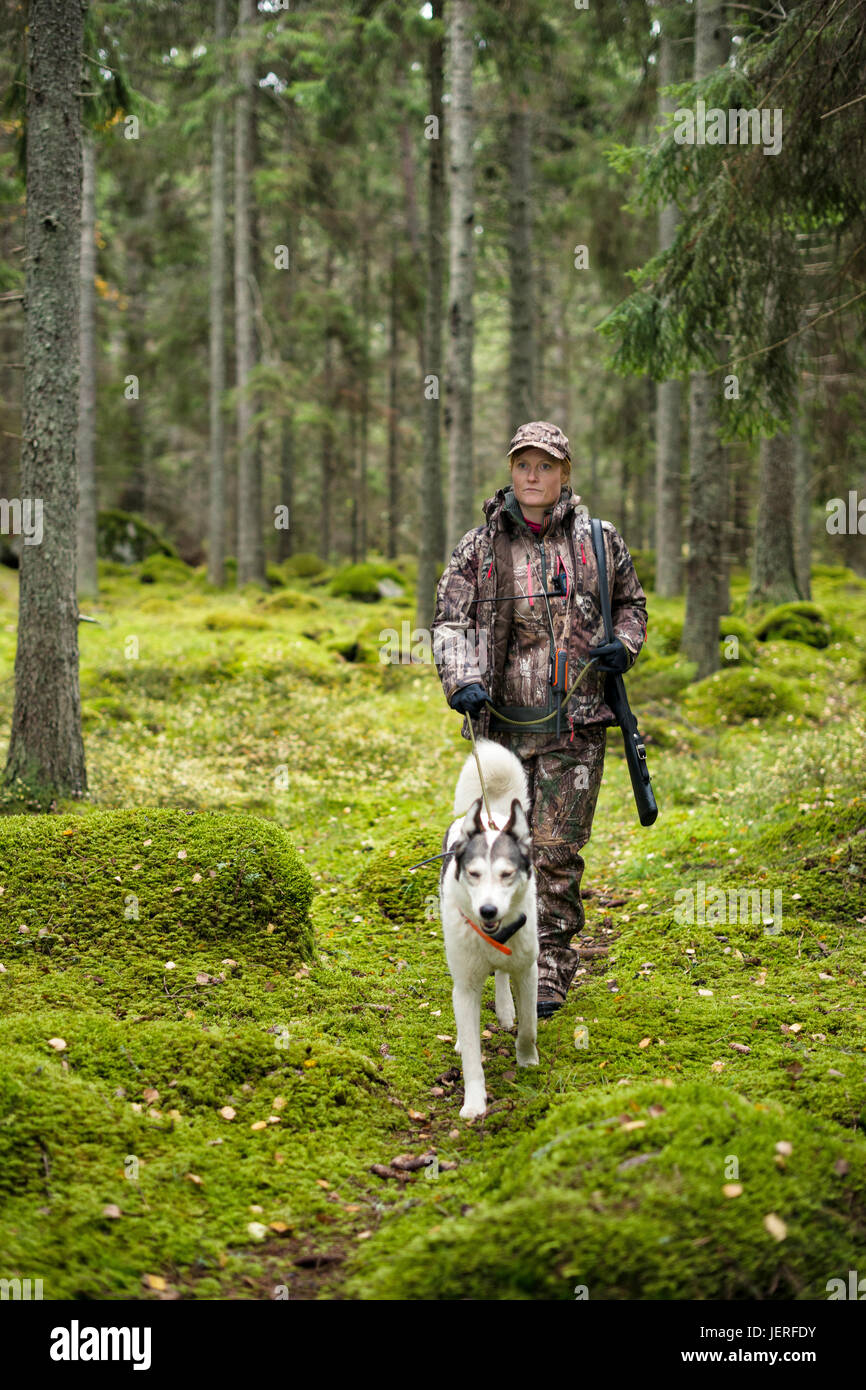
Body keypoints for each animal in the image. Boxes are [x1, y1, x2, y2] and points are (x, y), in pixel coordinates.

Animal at [444, 739, 539, 1117]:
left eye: (506, 874)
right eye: (473, 873)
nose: (487, 910)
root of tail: (492, 815)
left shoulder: (529, 970)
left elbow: (529, 1025)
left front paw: (527, 1058)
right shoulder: (465, 986)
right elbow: (472, 1054)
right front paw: (474, 1102)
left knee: (501, 975)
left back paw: (505, 1009)